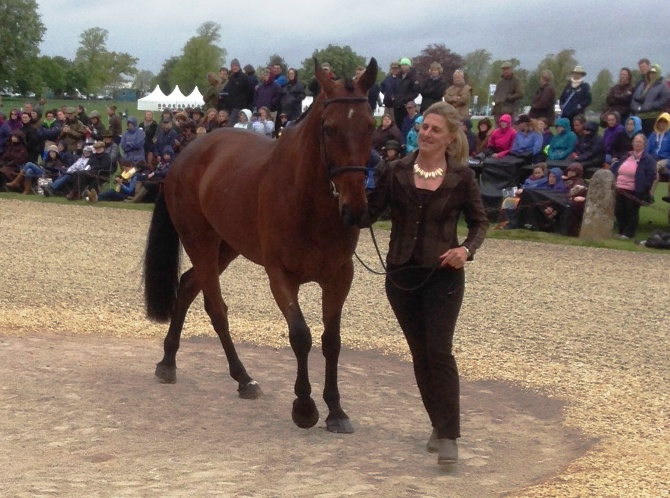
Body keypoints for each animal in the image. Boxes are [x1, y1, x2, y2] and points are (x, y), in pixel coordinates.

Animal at [143, 57, 378, 432]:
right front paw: (304, 407)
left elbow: (331, 340)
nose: (355, 208)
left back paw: (168, 360)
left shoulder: (339, 277)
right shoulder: (279, 275)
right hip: (201, 242)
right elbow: (301, 335)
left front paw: (336, 410)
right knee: (216, 308)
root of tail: (186, 154)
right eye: (329, 128)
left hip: (227, 246)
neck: (308, 200)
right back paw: (243, 377)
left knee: (189, 285)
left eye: (371, 126)